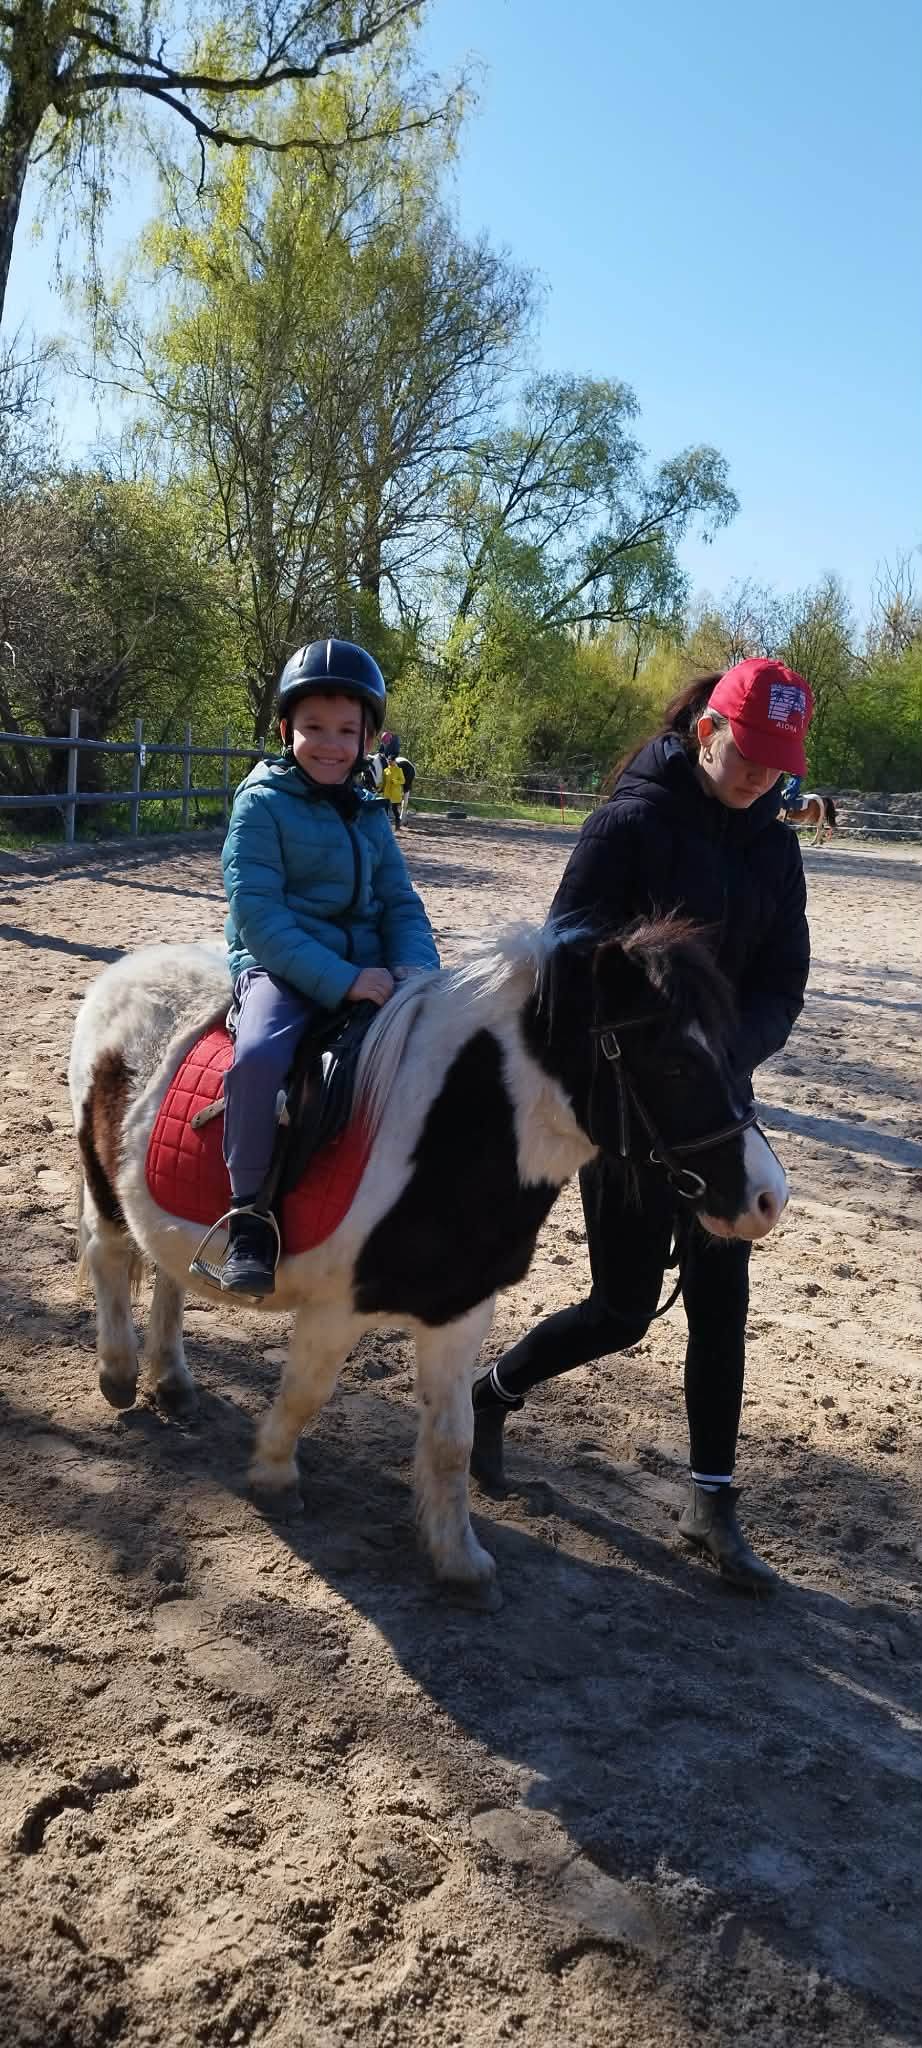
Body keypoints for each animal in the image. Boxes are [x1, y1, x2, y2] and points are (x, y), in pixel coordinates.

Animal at [68, 919, 788, 1600]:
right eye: (674, 1064)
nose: (767, 1196)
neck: (450, 1136)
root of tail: (129, 970)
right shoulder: (335, 1308)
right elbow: (305, 1393)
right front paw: (274, 1477)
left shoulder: (459, 1312)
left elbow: (452, 1439)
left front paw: (460, 1562)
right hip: (103, 1186)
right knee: (109, 1257)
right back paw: (120, 1374)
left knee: (167, 1272)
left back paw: (172, 1381)